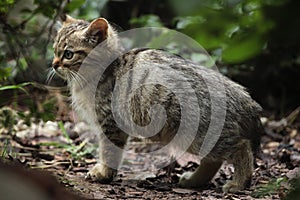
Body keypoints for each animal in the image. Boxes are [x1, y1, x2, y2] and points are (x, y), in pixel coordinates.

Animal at [51, 14, 262, 193]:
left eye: (68, 54)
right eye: (54, 51)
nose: (54, 64)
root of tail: (244, 97)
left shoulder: (110, 122)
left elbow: (109, 151)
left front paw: (104, 173)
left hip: (199, 133)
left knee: (242, 148)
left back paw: (239, 183)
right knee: (213, 160)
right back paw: (194, 181)